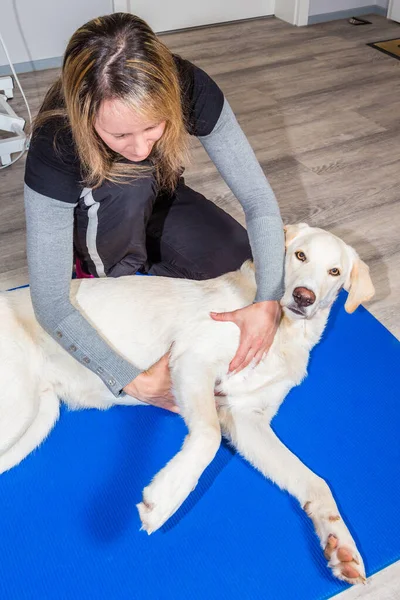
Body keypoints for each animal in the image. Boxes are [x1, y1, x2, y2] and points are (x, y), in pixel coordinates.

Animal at [0, 223, 376, 584]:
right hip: (18, 408)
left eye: (334, 271)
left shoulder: (246, 419)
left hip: (38, 416)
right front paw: (166, 497)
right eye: (300, 255)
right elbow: (208, 437)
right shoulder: (193, 360)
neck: (286, 333)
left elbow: (315, 481)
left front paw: (340, 544)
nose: (303, 297)